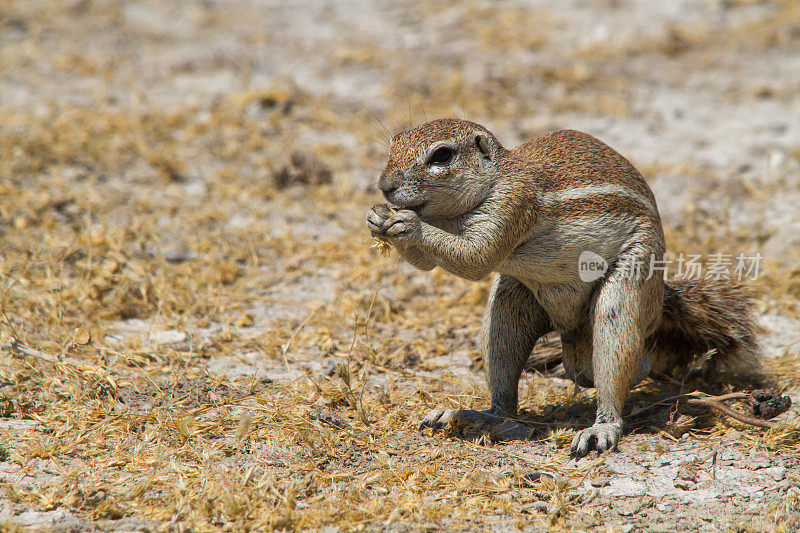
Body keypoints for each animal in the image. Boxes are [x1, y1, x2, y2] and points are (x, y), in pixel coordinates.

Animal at [366, 117, 760, 458]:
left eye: (442, 156)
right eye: (395, 142)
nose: (384, 186)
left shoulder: (513, 205)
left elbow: (476, 256)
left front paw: (409, 224)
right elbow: (429, 263)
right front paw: (376, 218)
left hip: (630, 282)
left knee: (617, 355)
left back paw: (602, 427)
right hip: (511, 302)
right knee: (517, 372)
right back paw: (481, 416)